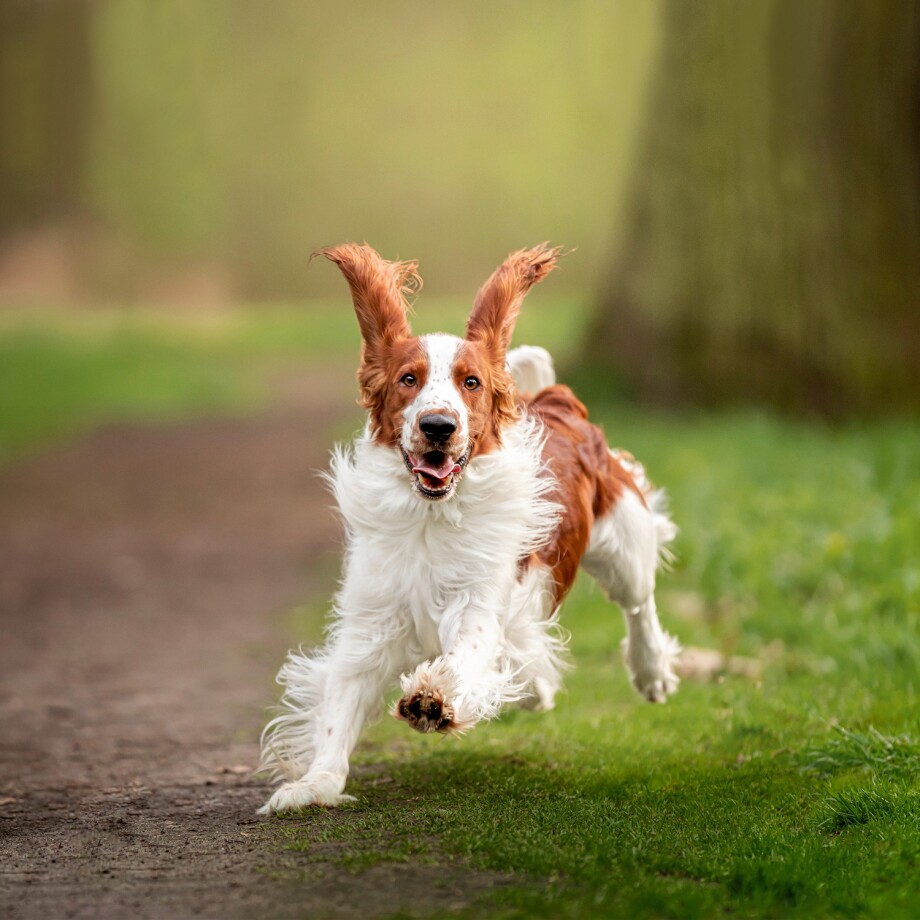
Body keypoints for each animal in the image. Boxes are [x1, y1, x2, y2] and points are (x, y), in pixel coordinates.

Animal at [255, 243, 680, 812]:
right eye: (408, 379)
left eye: (470, 382)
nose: (438, 426)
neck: (430, 518)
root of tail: (556, 399)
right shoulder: (372, 620)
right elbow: (339, 704)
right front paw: (315, 783)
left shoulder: (478, 603)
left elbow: (465, 655)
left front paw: (432, 699)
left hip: (624, 542)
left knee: (638, 603)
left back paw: (650, 670)